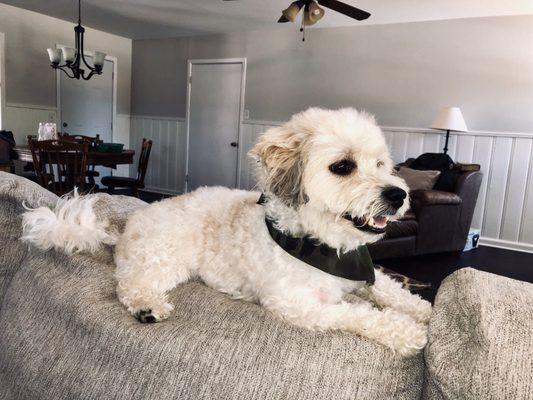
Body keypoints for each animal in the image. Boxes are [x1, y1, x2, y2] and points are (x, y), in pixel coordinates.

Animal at [22, 107, 430, 356]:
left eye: (382, 164)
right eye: (343, 166)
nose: (398, 194)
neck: (323, 246)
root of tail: (126, 227)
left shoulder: (366, 275)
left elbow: (391, 291)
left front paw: (422, 310)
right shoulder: (299, 306)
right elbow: (359, 314)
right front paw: (409, 331)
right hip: (162, 259)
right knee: (129, 284)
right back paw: (146, 307)